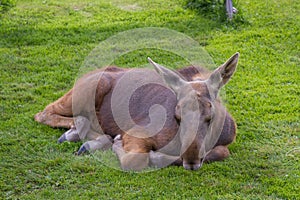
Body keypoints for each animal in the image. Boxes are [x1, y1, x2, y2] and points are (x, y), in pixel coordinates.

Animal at [34, 52, 239, 170]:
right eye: (177, 115)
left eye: (211, 116)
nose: (191, 160)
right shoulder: (136, 131)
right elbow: (135, 160)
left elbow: (222, 152)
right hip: (87, 91)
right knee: (43, 113)